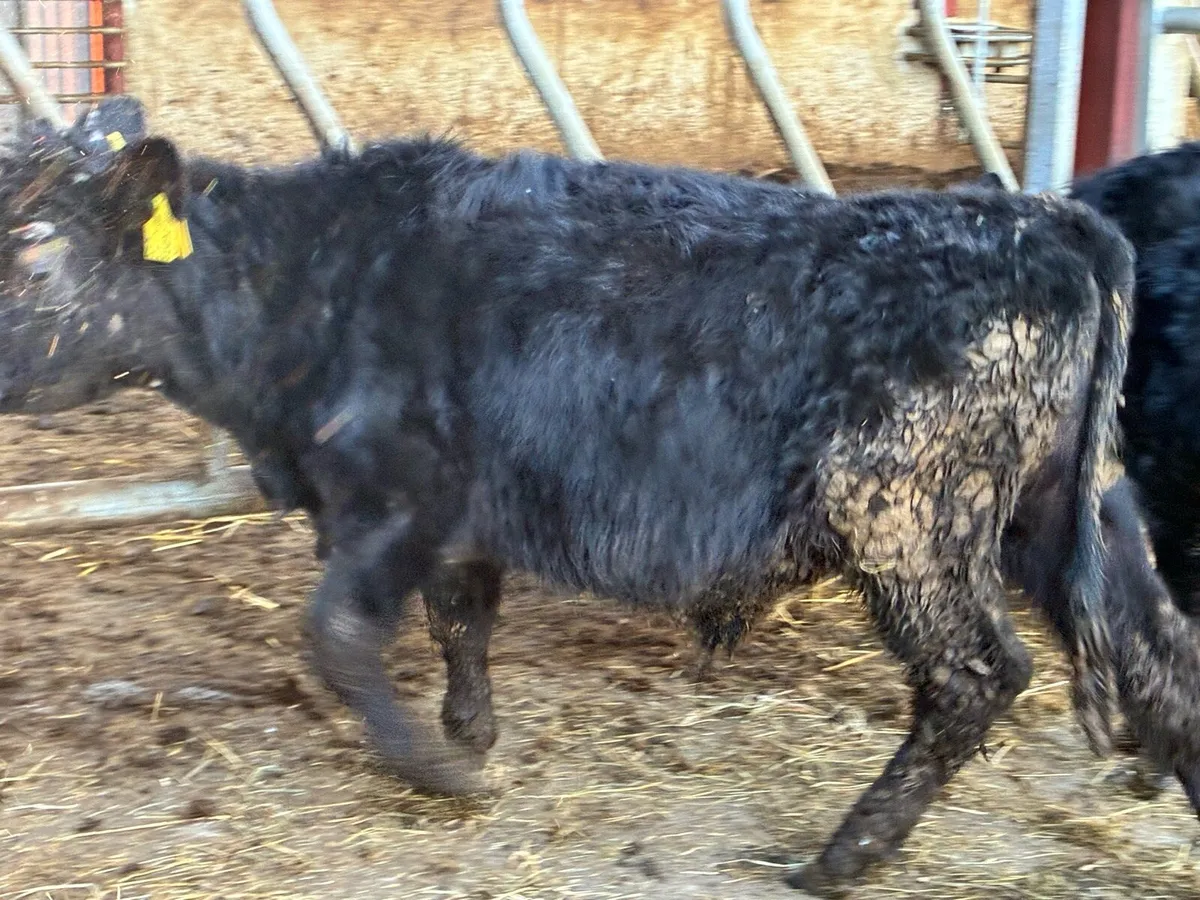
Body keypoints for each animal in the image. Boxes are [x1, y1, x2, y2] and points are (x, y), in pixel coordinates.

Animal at [0, 99, 1133, 893]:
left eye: (36, 249)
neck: (311, 282)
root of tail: (1035, 218)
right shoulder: (461, 515)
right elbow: (461, 620)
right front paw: (468, 734)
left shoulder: (396, 499)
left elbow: (338, 635)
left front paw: (435, 770)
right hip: (1038, 513)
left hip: (911, 519)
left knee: (976, 674)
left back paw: (843, 856)